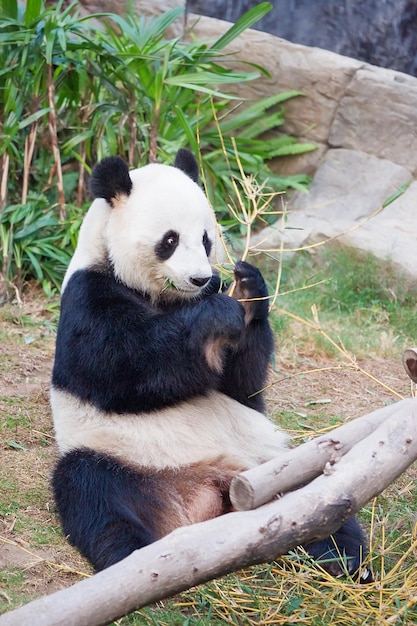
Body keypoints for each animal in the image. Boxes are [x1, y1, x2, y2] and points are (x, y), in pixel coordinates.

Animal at [50, 149, 368, 576]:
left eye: (205, 238)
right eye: (169, 240)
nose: (200, 279)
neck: (168, 299)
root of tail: (205, 493)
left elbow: (243, 387)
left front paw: (248, 291)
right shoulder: (89, 295)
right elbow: (125, 366)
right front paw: (218, 316)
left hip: (275, 465)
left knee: (320, 496)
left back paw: (346, 561)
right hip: (119, 455)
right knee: (95, 494)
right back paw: (132, 557)